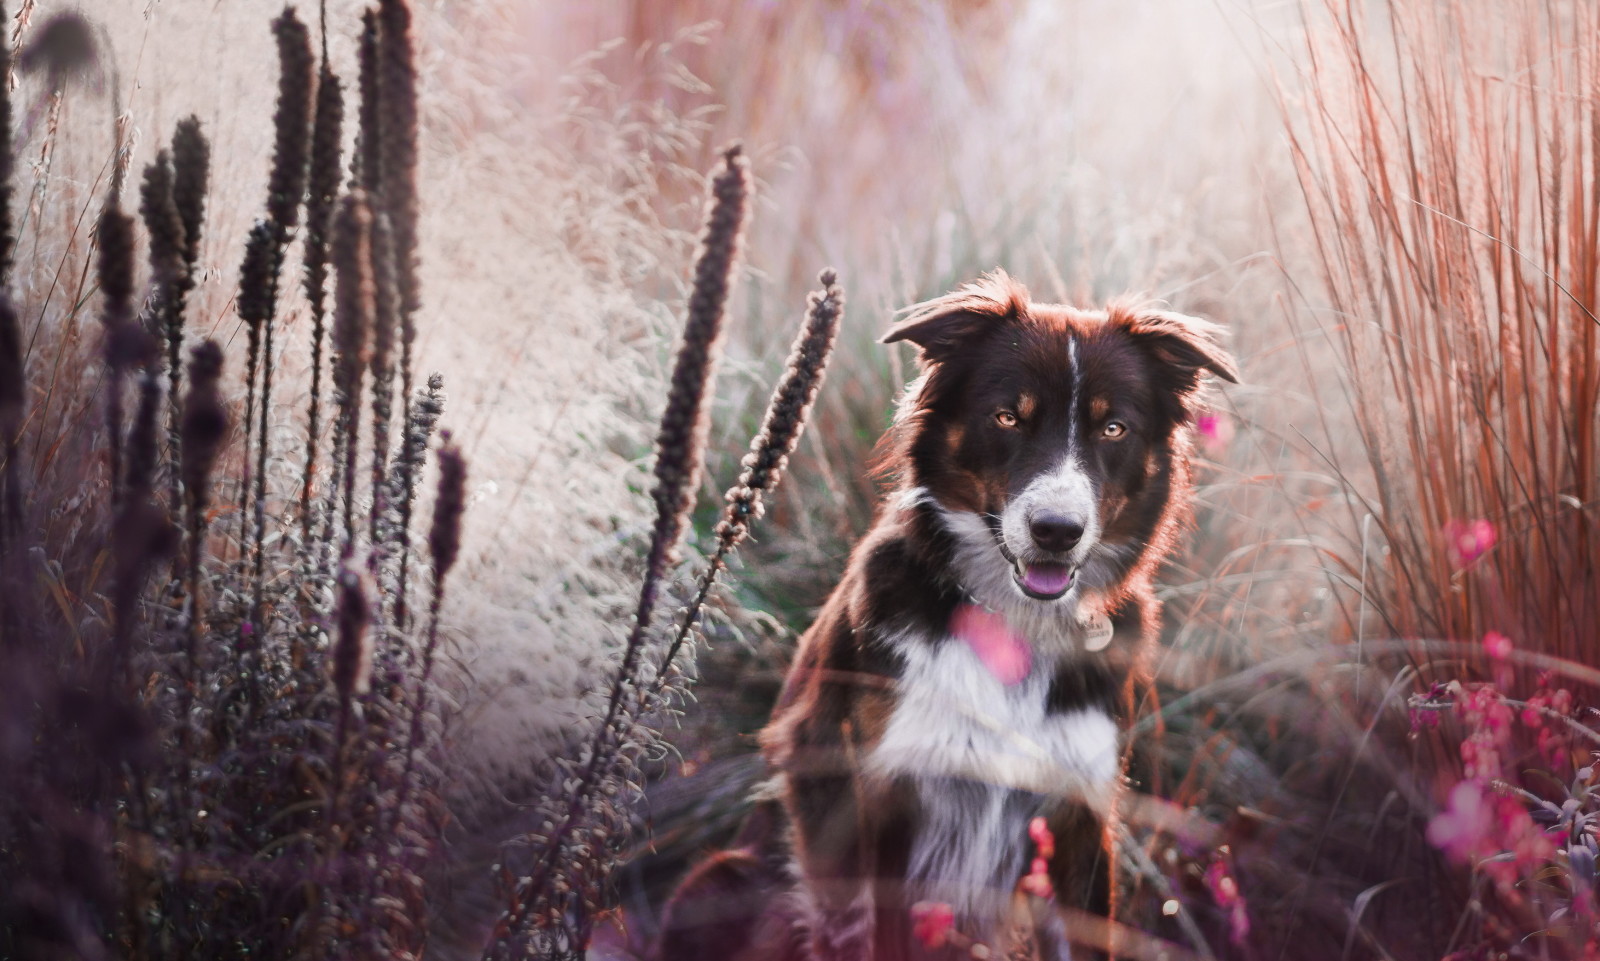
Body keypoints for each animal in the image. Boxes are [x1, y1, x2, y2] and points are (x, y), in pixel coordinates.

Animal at [656, 270, 1241, 959]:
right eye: (1008, 417)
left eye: (1114, 429)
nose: (1056, 532)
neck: (1015, 623)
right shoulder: (884, 792)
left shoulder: (1081, 810)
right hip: (722, 878)